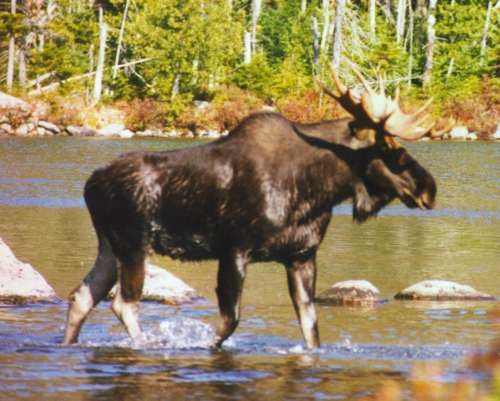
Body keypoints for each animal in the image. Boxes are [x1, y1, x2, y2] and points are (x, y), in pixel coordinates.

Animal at [63, 68, 442, 346]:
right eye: (387, 148)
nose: (430, 189)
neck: (316, 191)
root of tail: (90, 185)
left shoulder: (301, 255)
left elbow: (311, 328)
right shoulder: (234, 248)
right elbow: (229, 323)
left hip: (109, 246)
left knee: (82, 296)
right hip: (133, 243)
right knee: (123, 304)